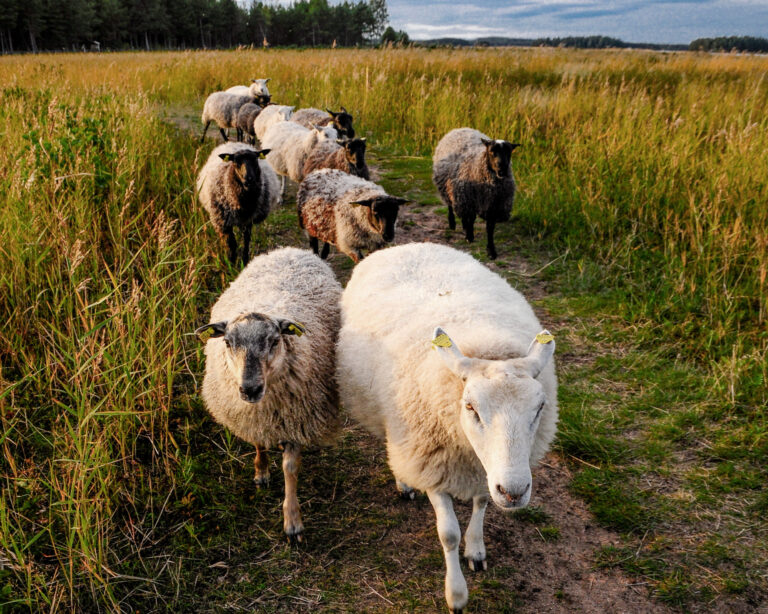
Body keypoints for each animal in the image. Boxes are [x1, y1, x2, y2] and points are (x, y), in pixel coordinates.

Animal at [195, 247, 342, 544]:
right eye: (227, 342)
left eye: (274, 341)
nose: (249, 388)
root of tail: (289, 249)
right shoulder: (254, 416)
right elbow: (257, 442)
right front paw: (261, 471)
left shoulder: (296, 418)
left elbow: (290, 468)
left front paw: (293, 522)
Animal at [336, 243, 560, 612]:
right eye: (470, 407)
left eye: (540, 407)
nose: (513, 492)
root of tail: (407, 245)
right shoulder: (432, 465)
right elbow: (449, 534)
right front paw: (456, 594)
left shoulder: (486, 469)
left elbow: (482, 503)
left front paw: (477, 549)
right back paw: (403, 483)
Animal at [436, 127, 520, 260]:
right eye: (491, 151)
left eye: (509, 151)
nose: (502, 168)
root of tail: (460, 128)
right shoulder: (469, 199)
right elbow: (470, 219)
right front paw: (469, 236)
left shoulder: (493, 207)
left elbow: (489, 229)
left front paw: (491, 251)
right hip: (449, 188)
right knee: (450, 206)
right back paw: (453, 223)